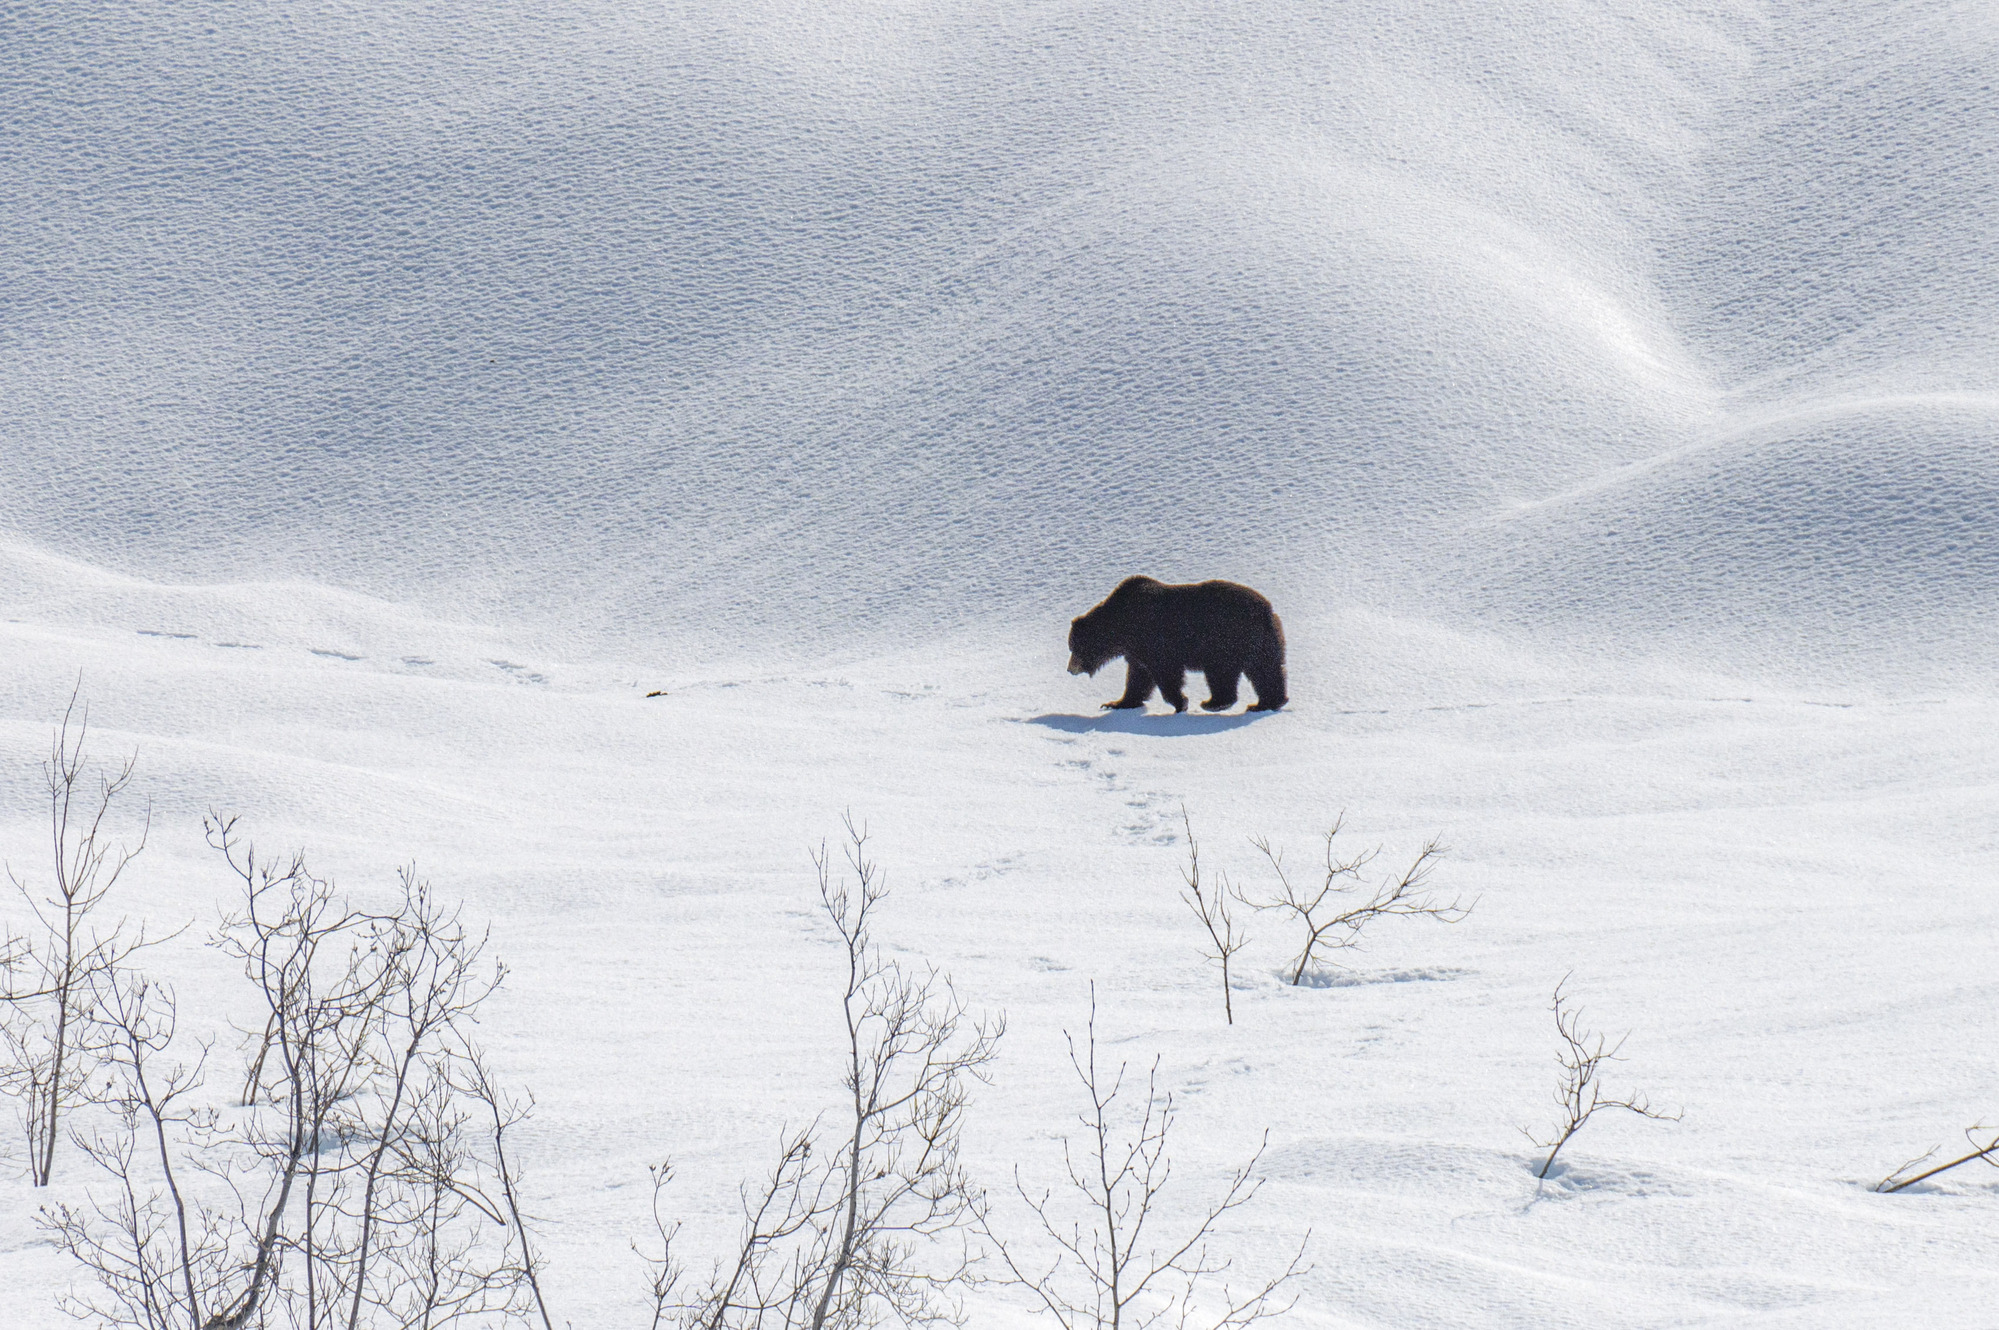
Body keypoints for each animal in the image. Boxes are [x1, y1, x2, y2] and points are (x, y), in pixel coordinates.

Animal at [1067, 576, 1287, 713]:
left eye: (1074, 648)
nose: (1070, 669)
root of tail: (1267, 610)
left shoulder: (1153, 639)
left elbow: (1166, 673)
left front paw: (1181, 702)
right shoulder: (1137, 651)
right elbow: (1138, 678)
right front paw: (1116, 703)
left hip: (1225, 640)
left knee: (1222, 673)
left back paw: (1214, 702)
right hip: (1262, 643)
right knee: (1266, 672)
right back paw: (1266, 702)